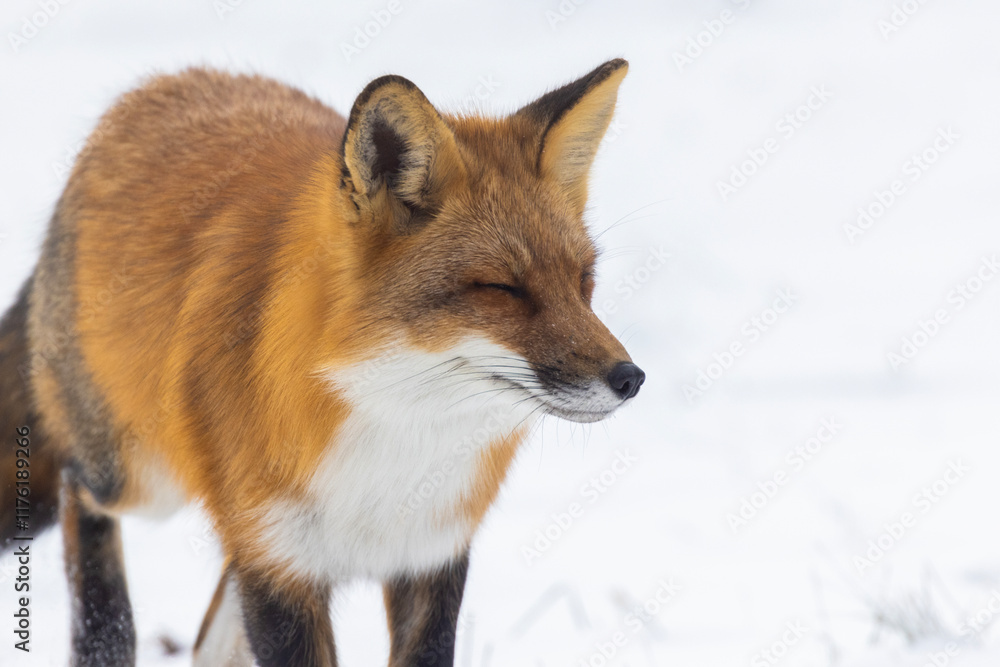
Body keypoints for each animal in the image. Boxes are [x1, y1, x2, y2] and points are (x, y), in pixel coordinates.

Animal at [0, 58, 644, 666]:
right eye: (501, 289)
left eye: (583, 282)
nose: (630, 379)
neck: (393, 436)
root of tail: (157, 85)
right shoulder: (279, 565)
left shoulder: (430, 554)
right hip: (138, 478)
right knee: (78, 493)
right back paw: (104, 642)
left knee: (209, 642)